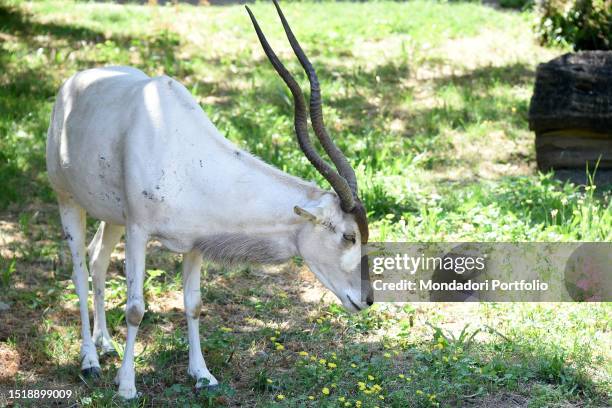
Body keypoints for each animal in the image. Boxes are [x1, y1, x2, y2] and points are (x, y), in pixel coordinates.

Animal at [45, 0, 370, 400]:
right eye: (348, 236)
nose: (367, 299)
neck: (181, 149)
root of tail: (73, 83)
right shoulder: (138, 231)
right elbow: (136, 308)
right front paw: (127, 386)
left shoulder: (196, 242)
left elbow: (194, 305)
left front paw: (202, 375)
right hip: (68, 200)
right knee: (78, 269)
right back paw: (90, 360)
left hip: (112, 217)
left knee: (97, 259)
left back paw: (105, 343)